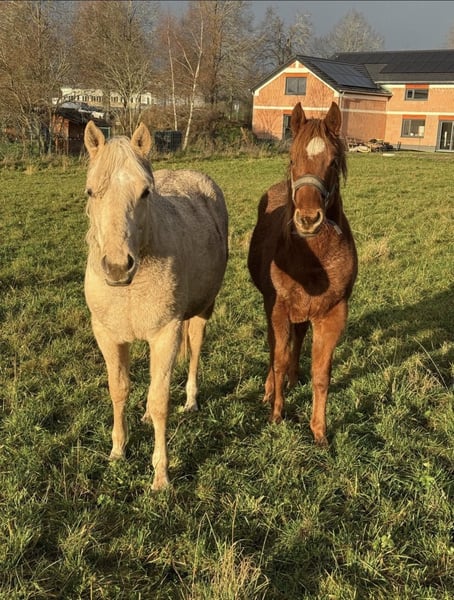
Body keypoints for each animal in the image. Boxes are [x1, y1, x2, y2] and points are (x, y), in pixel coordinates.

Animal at [83, 121, 228, 490]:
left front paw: (160, 475)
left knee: (193, 353)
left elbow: (161, 399)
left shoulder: (166, 333)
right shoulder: (108, 336)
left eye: (145, 192)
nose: (117, 267)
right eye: (91, 192)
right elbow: (119, 390)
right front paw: (118, 450)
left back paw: (190, 400)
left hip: (201, 312)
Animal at [247, 102, 357, 445]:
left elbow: (321, 373)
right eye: (292, 159)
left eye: (333, 162)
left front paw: (319, 431)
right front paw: (276, 414)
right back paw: (271, 390)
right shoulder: (278, 308)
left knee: (297, 339)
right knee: (276, 351)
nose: (308, 219)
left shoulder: (332, 313)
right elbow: (278, 359)